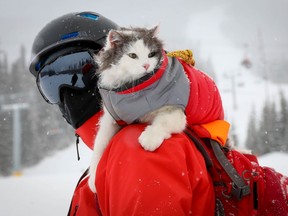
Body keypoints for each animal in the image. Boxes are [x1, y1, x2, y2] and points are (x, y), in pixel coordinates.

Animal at [88, 25, 187, 192]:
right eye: (132, 55)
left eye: (151, 54)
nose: (146, 65)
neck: (134, 90)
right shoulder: (111, 119)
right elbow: (100, 144)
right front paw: (93, 176)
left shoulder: (175, 109)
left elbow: (162, 123)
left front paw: (149, 139)